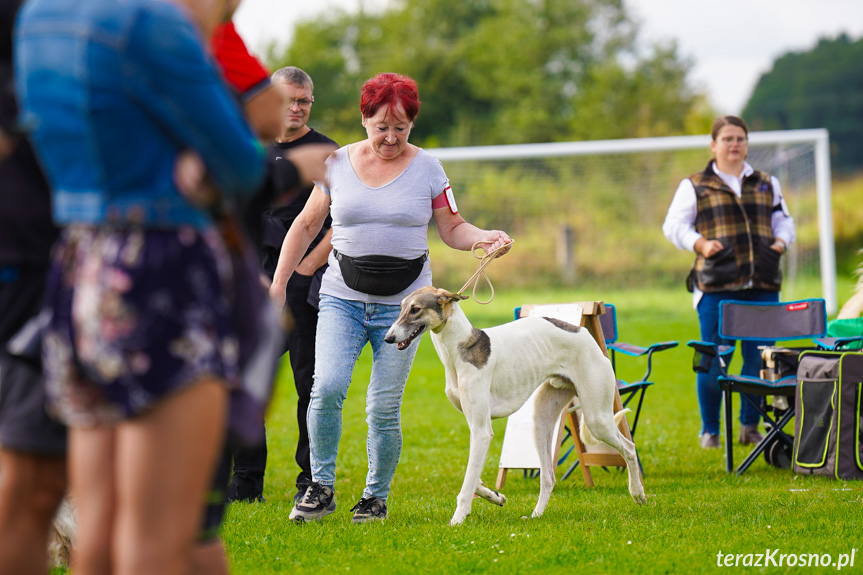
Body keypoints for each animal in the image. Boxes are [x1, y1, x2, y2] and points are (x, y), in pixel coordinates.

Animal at [386, 288, 648, 528]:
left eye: (415, 309)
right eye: (401, 307)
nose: (388, 338)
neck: (461, 348)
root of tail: (582, 331)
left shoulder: (481, 430)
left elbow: (468, 482)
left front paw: (457, 519)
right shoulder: (476, 426)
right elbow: (474, 477)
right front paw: (494, 495)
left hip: (597, 419)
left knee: (629, 447)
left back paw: (638, 493)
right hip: (541, 420)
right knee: (548, 477)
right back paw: (536, 516)